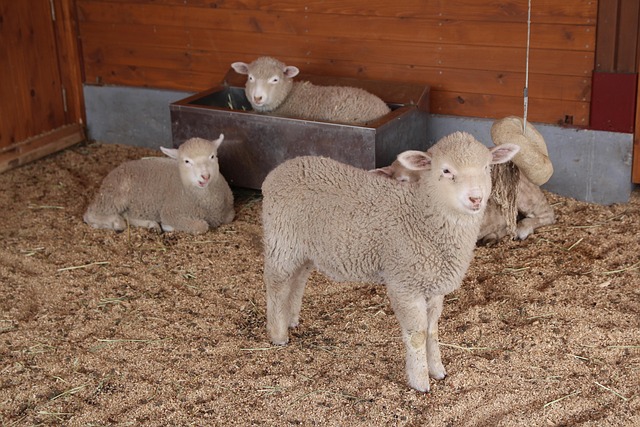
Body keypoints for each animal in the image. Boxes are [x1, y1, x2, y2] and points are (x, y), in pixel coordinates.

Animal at [84, 135, 234, 234]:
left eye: (212, 156)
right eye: (186, 161)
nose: (205, 176)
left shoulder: (228, 212)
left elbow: (229, 217)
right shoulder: (171, 212)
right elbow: (201, 227)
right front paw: (168, 227)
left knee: (128, 215)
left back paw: (152, 224)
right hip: (114, 197)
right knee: (89, 214)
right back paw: (116, 223)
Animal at [261, 132, 519, 392]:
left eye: (486, 167)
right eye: (446, 170)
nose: (475, 198)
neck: (422, 217)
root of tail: (279, 171)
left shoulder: (433, 285)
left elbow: (432, 331)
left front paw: (437, 370)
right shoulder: (405, 284)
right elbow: (417, 334)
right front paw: (420, 382)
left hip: (304, 248)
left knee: (297, 279)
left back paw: (291, 319)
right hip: (282, 239)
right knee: (276, 284)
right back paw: (278, 334)